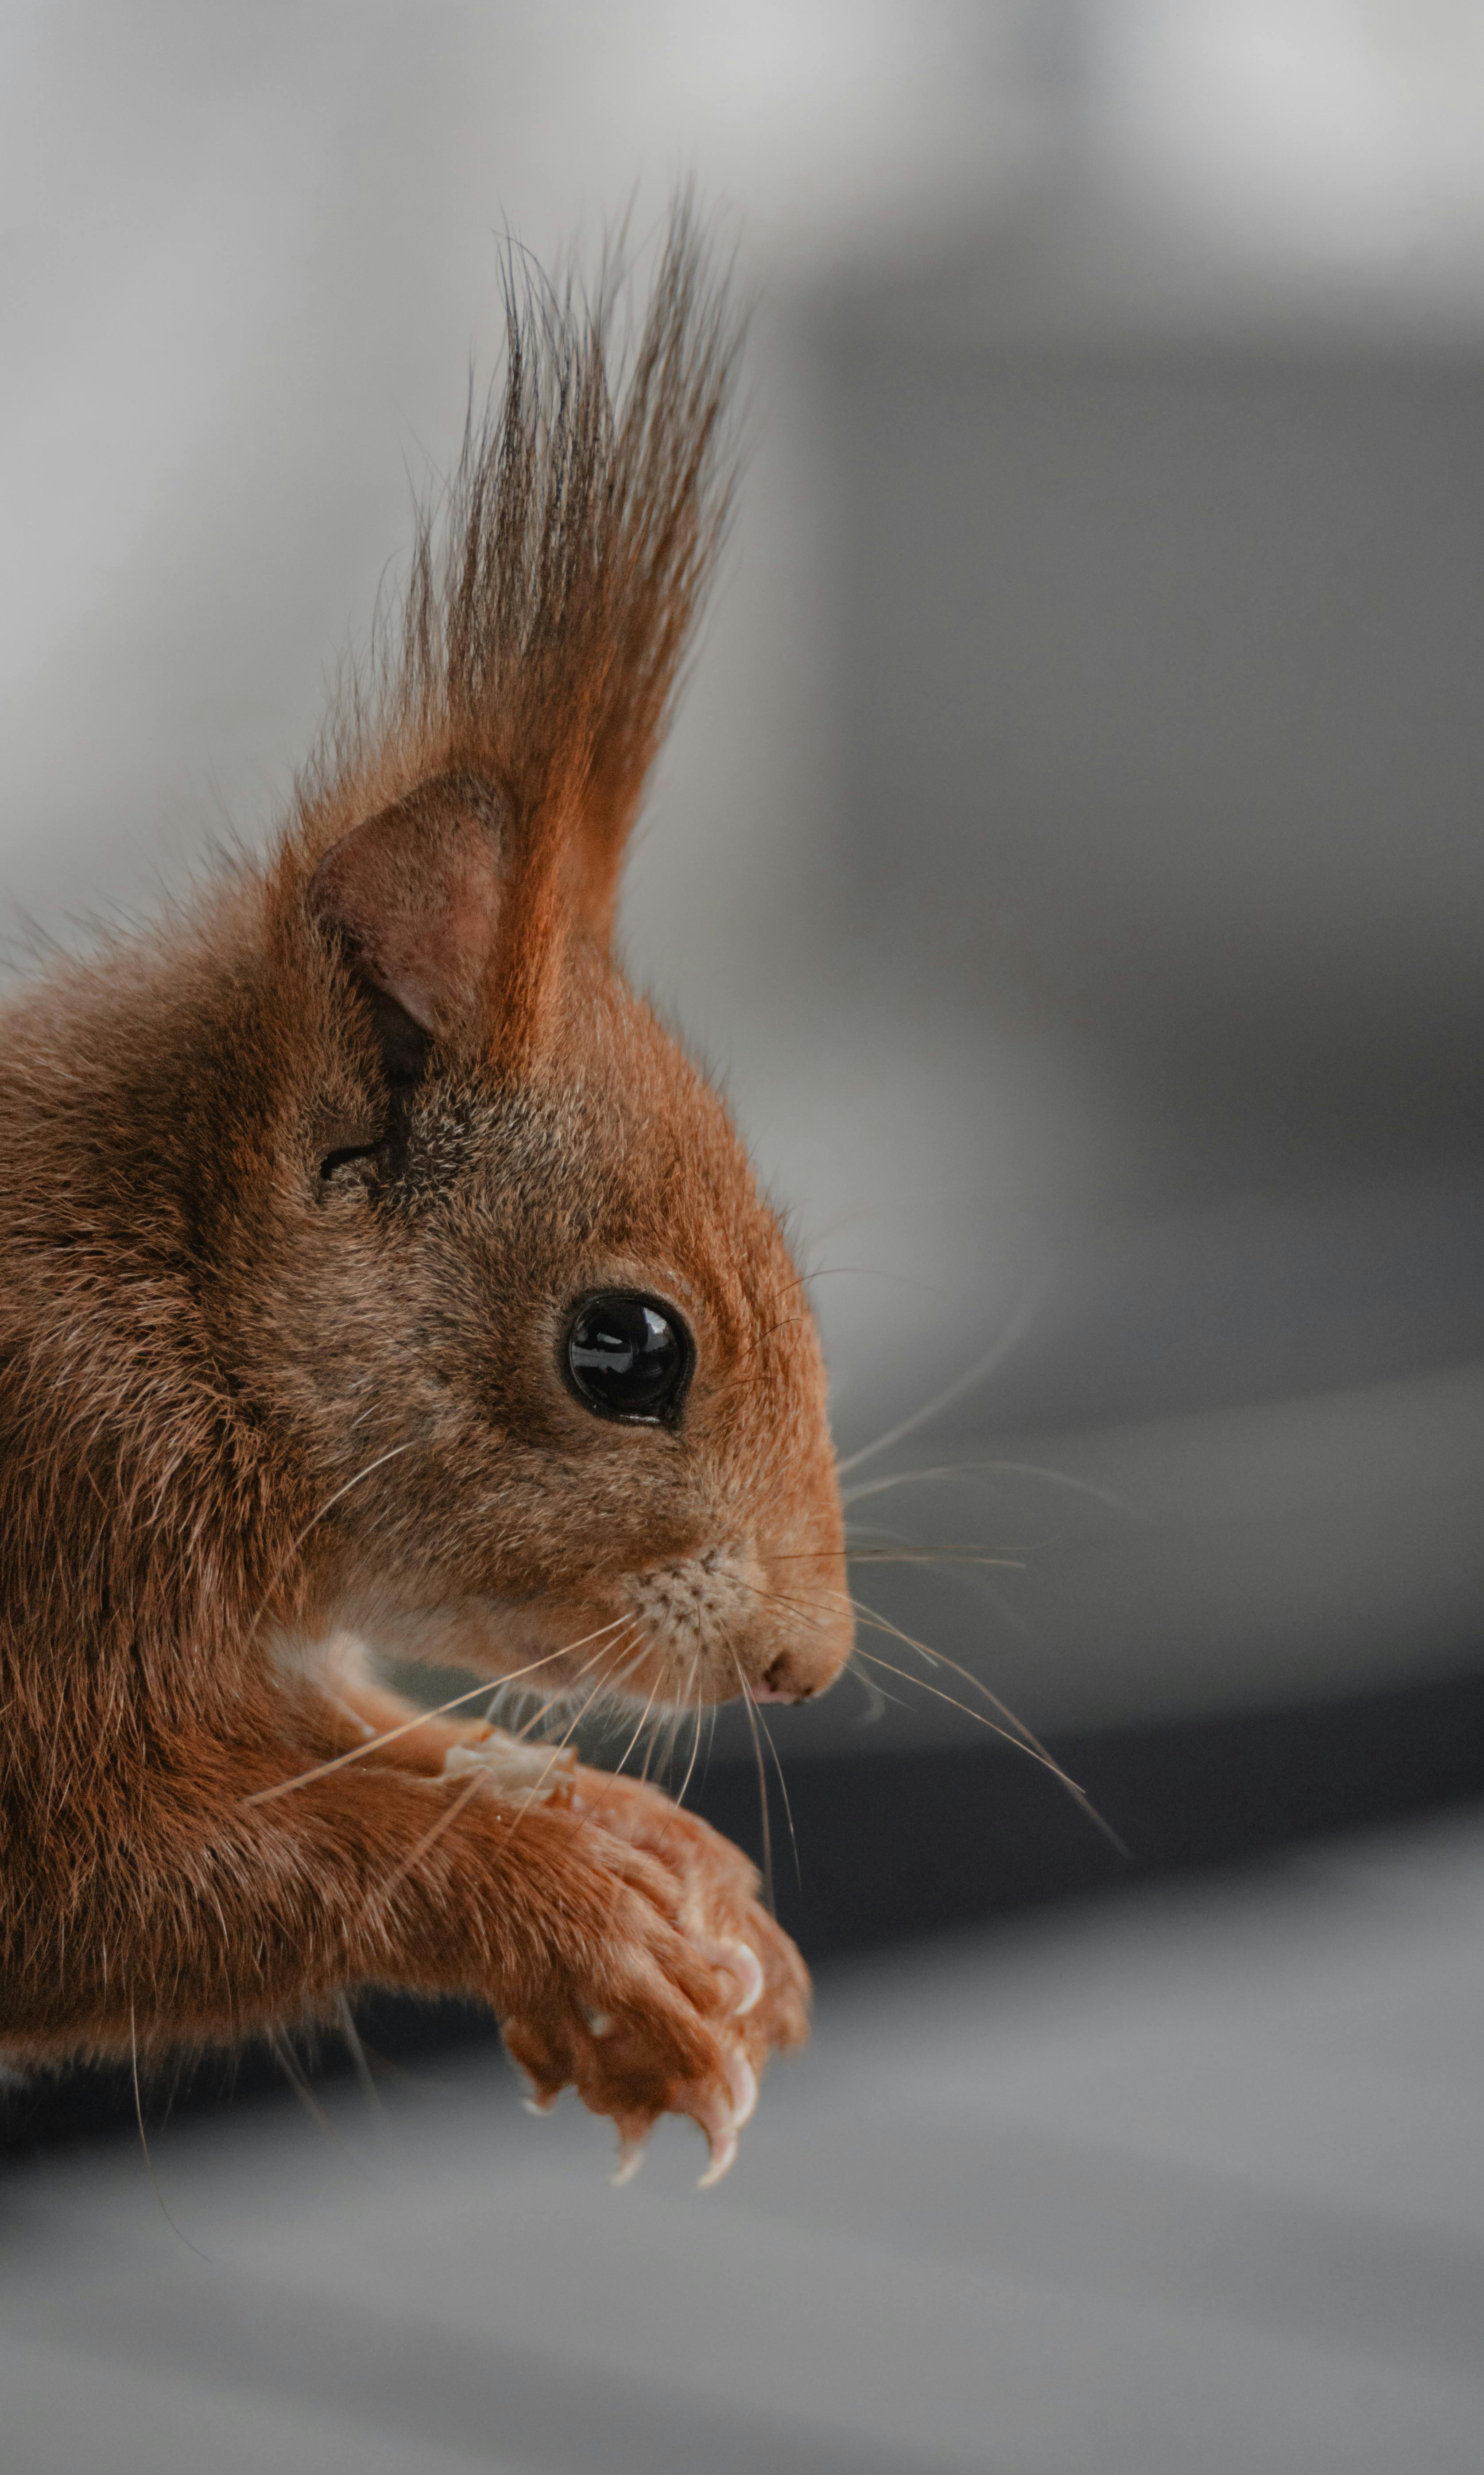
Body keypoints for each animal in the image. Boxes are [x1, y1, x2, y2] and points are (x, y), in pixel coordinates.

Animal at [0, 208, 851, 2187]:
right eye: (624, 1348)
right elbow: (134, 1872)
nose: (813, 1658)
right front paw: (569, 1914)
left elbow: (368, 1738)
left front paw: (650, 1852)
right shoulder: (60, 1502)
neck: (178, 1297)